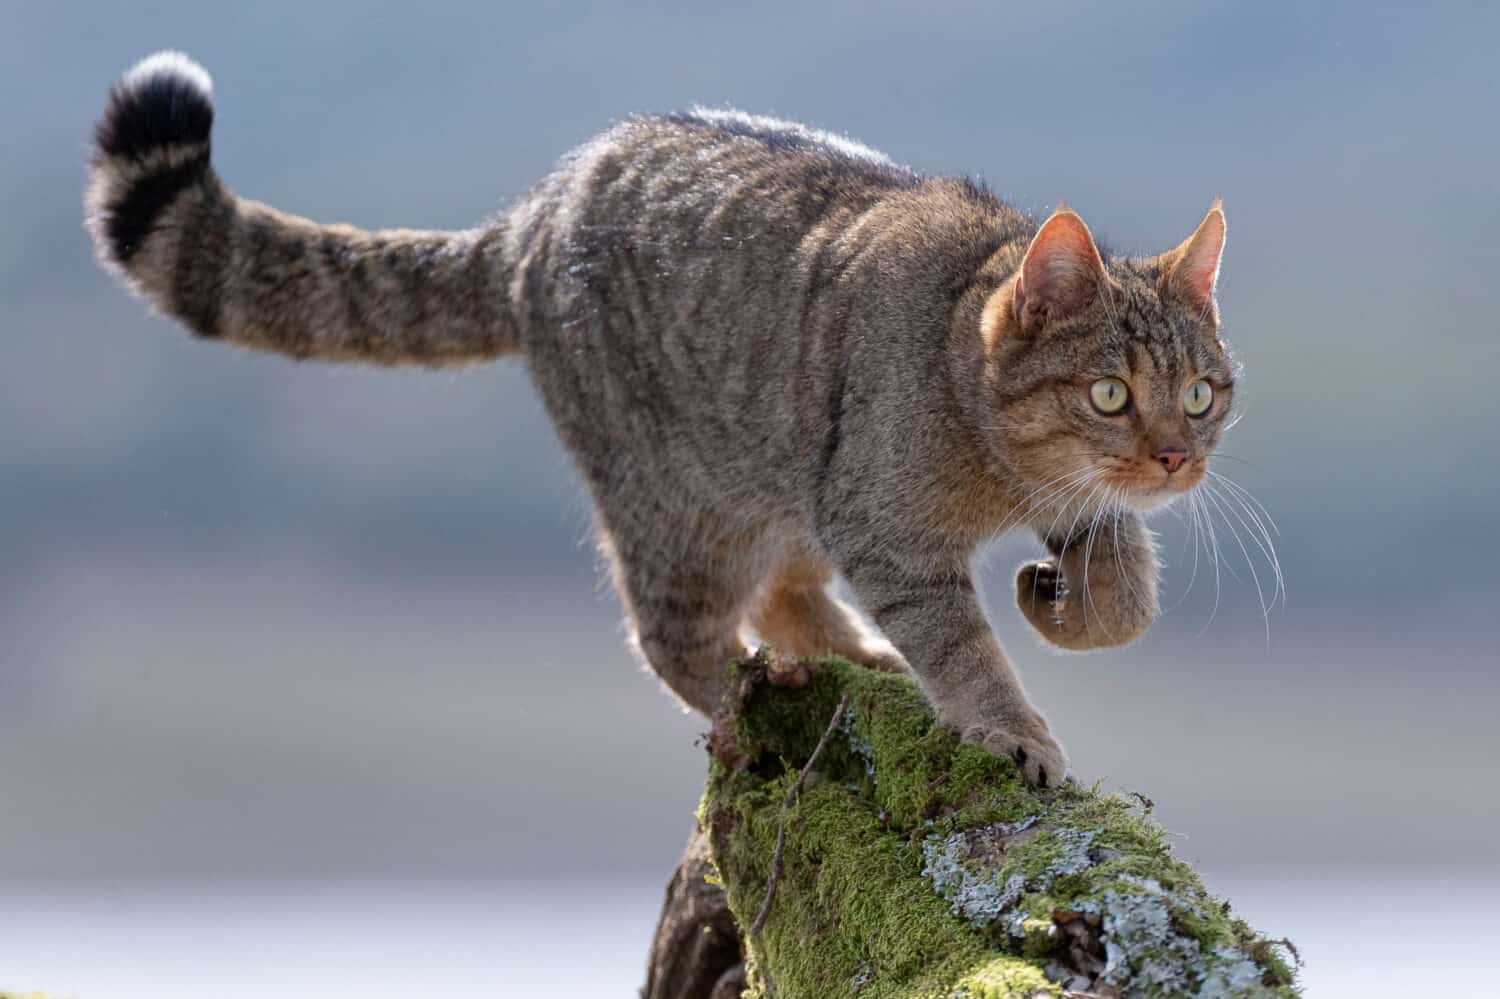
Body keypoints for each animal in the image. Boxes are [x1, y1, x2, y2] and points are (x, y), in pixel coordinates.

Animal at [85, 52, 1230, 786]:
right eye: (1110, 393)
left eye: (1202, 393)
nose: (1177, 458)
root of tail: (534, 210)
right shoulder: (882, 526)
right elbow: (963, 644)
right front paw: (1010, 725)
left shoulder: (1036, 505)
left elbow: (1127, 596)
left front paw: (1063, 597)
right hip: (684, 503)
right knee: (678, 637)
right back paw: (749, 704)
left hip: (773, 479)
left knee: (783, 594)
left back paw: (856, 659)